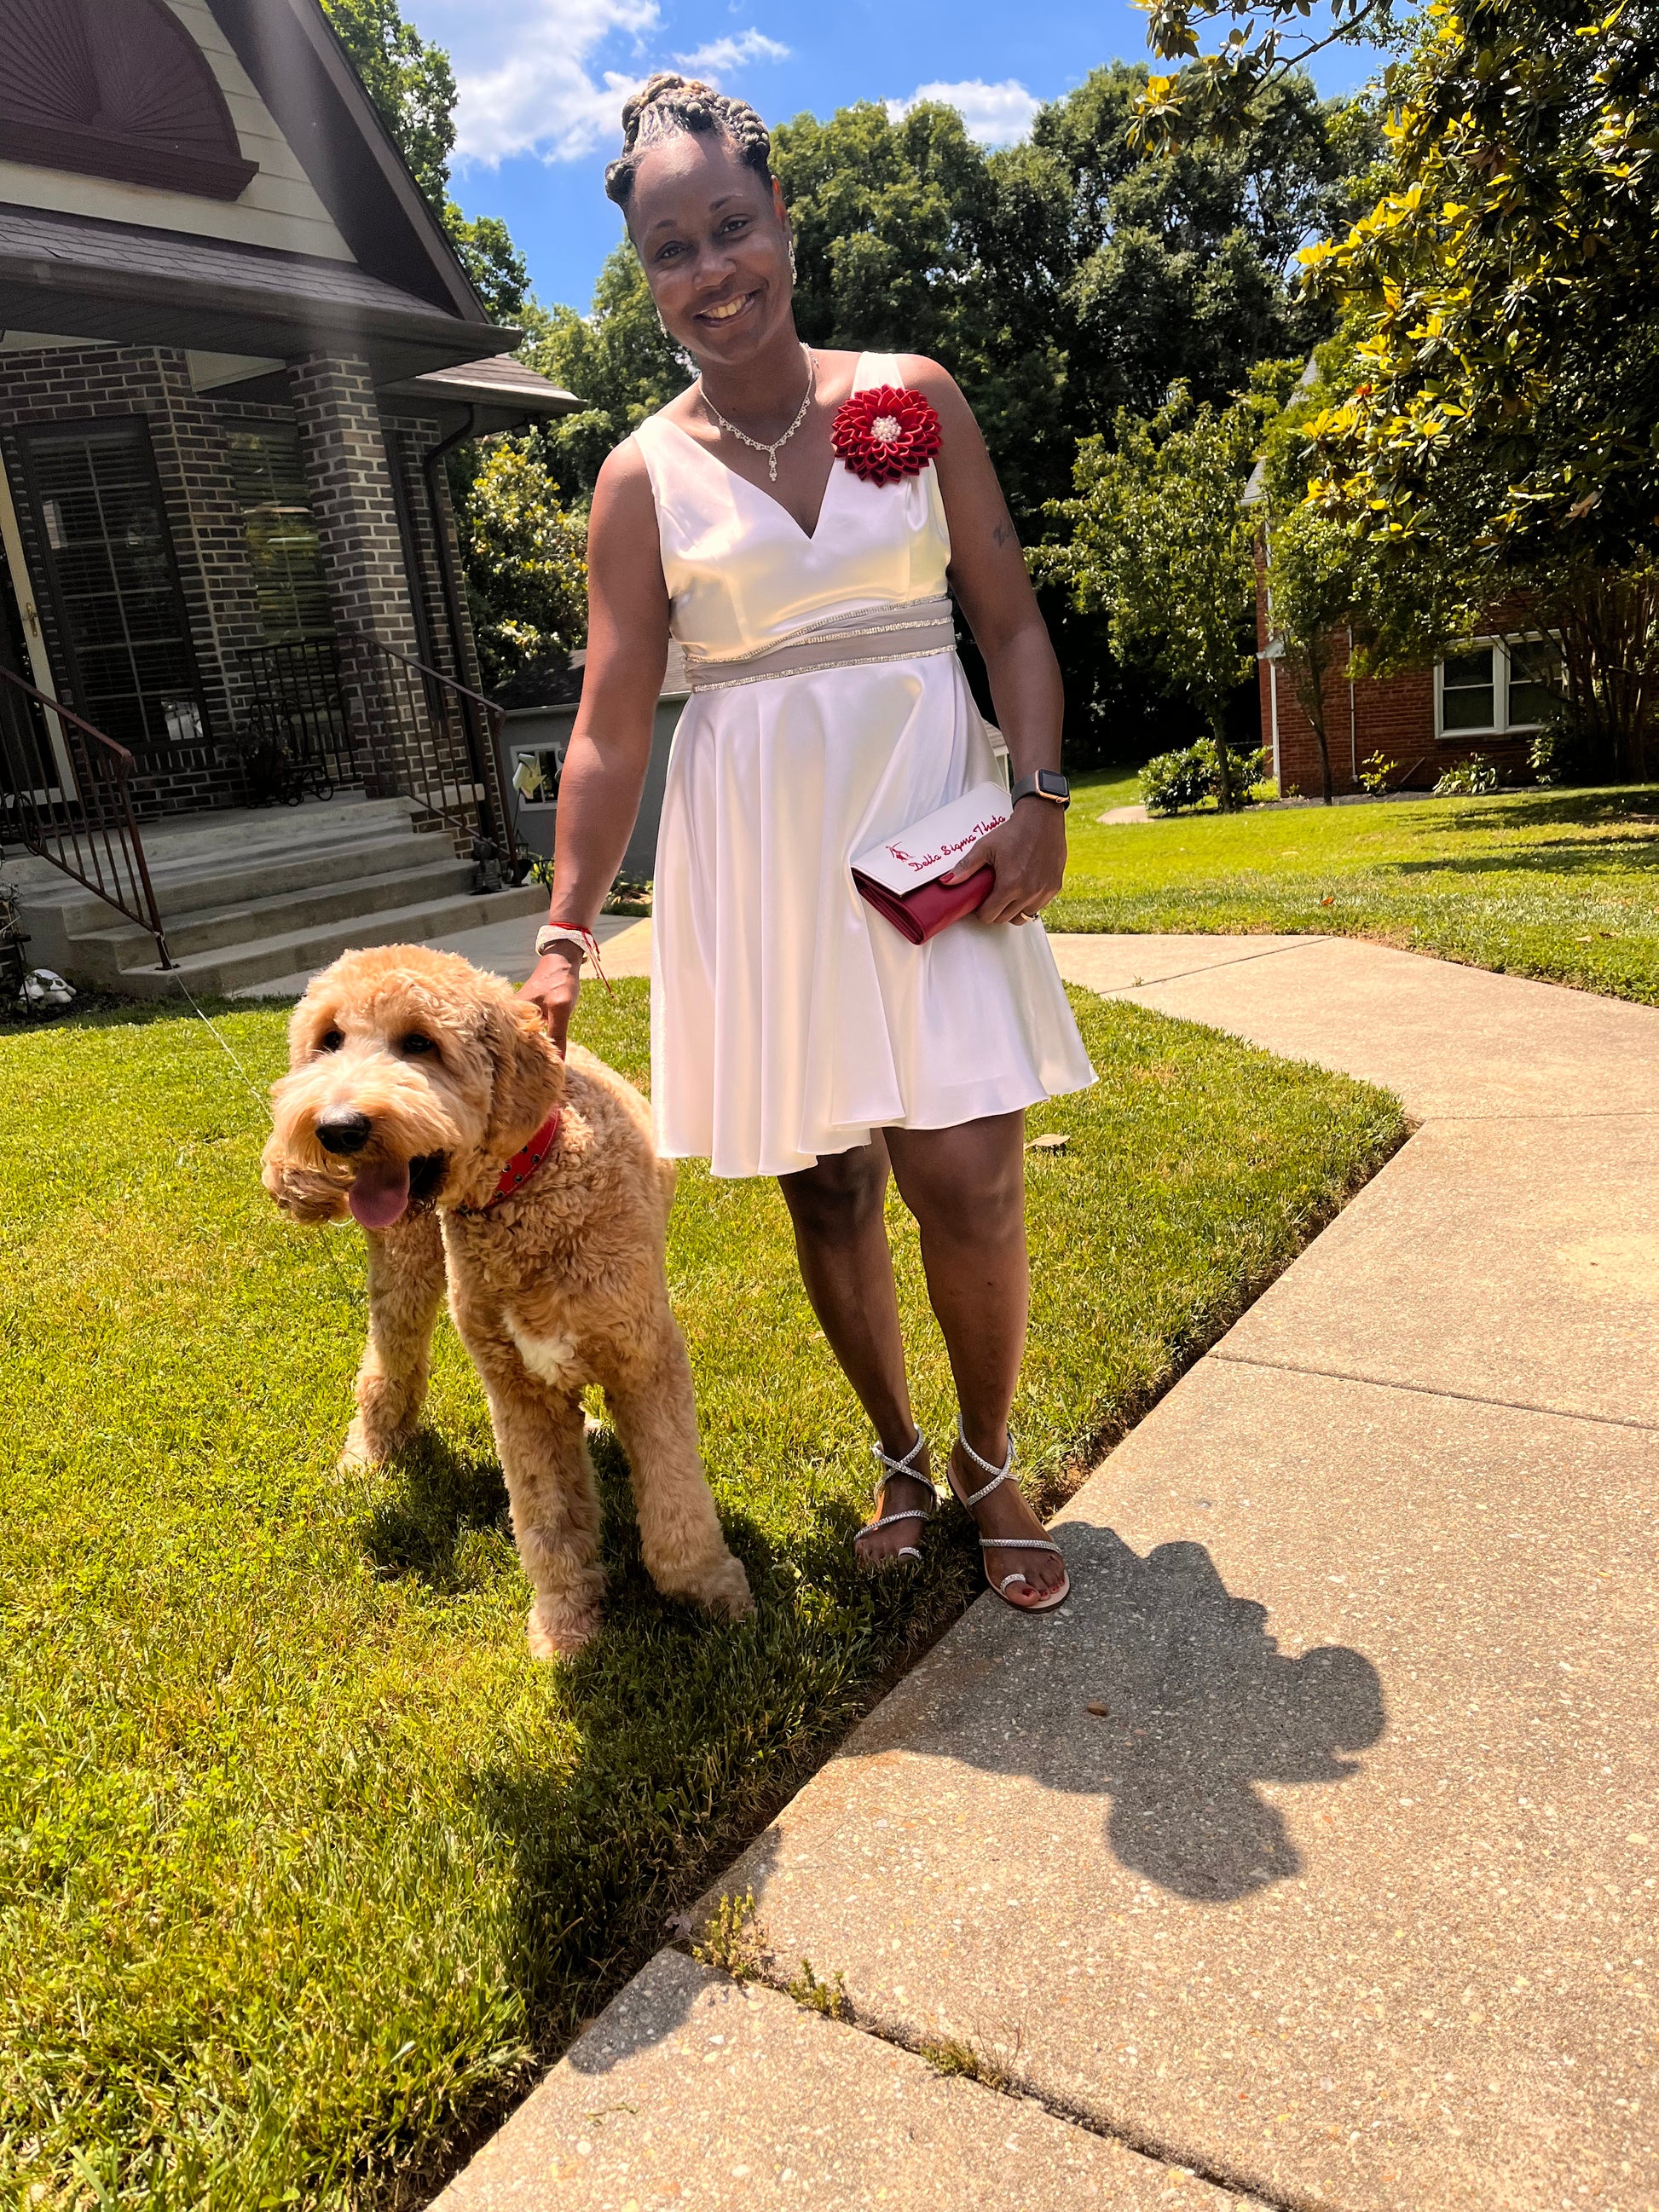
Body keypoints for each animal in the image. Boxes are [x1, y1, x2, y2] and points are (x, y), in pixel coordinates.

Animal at [264, 938, 752, 1663]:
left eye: (420, 1041)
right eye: (329, 1040)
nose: (338, 1126)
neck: (527, 1187)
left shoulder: (644, 1357)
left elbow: (675, 1496)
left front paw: (709, 1590)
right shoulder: (518, 1388)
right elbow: (547, 1517)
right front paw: (565, 1623)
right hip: (407, 1270)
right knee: (388, 1360)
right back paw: (368, 1455)